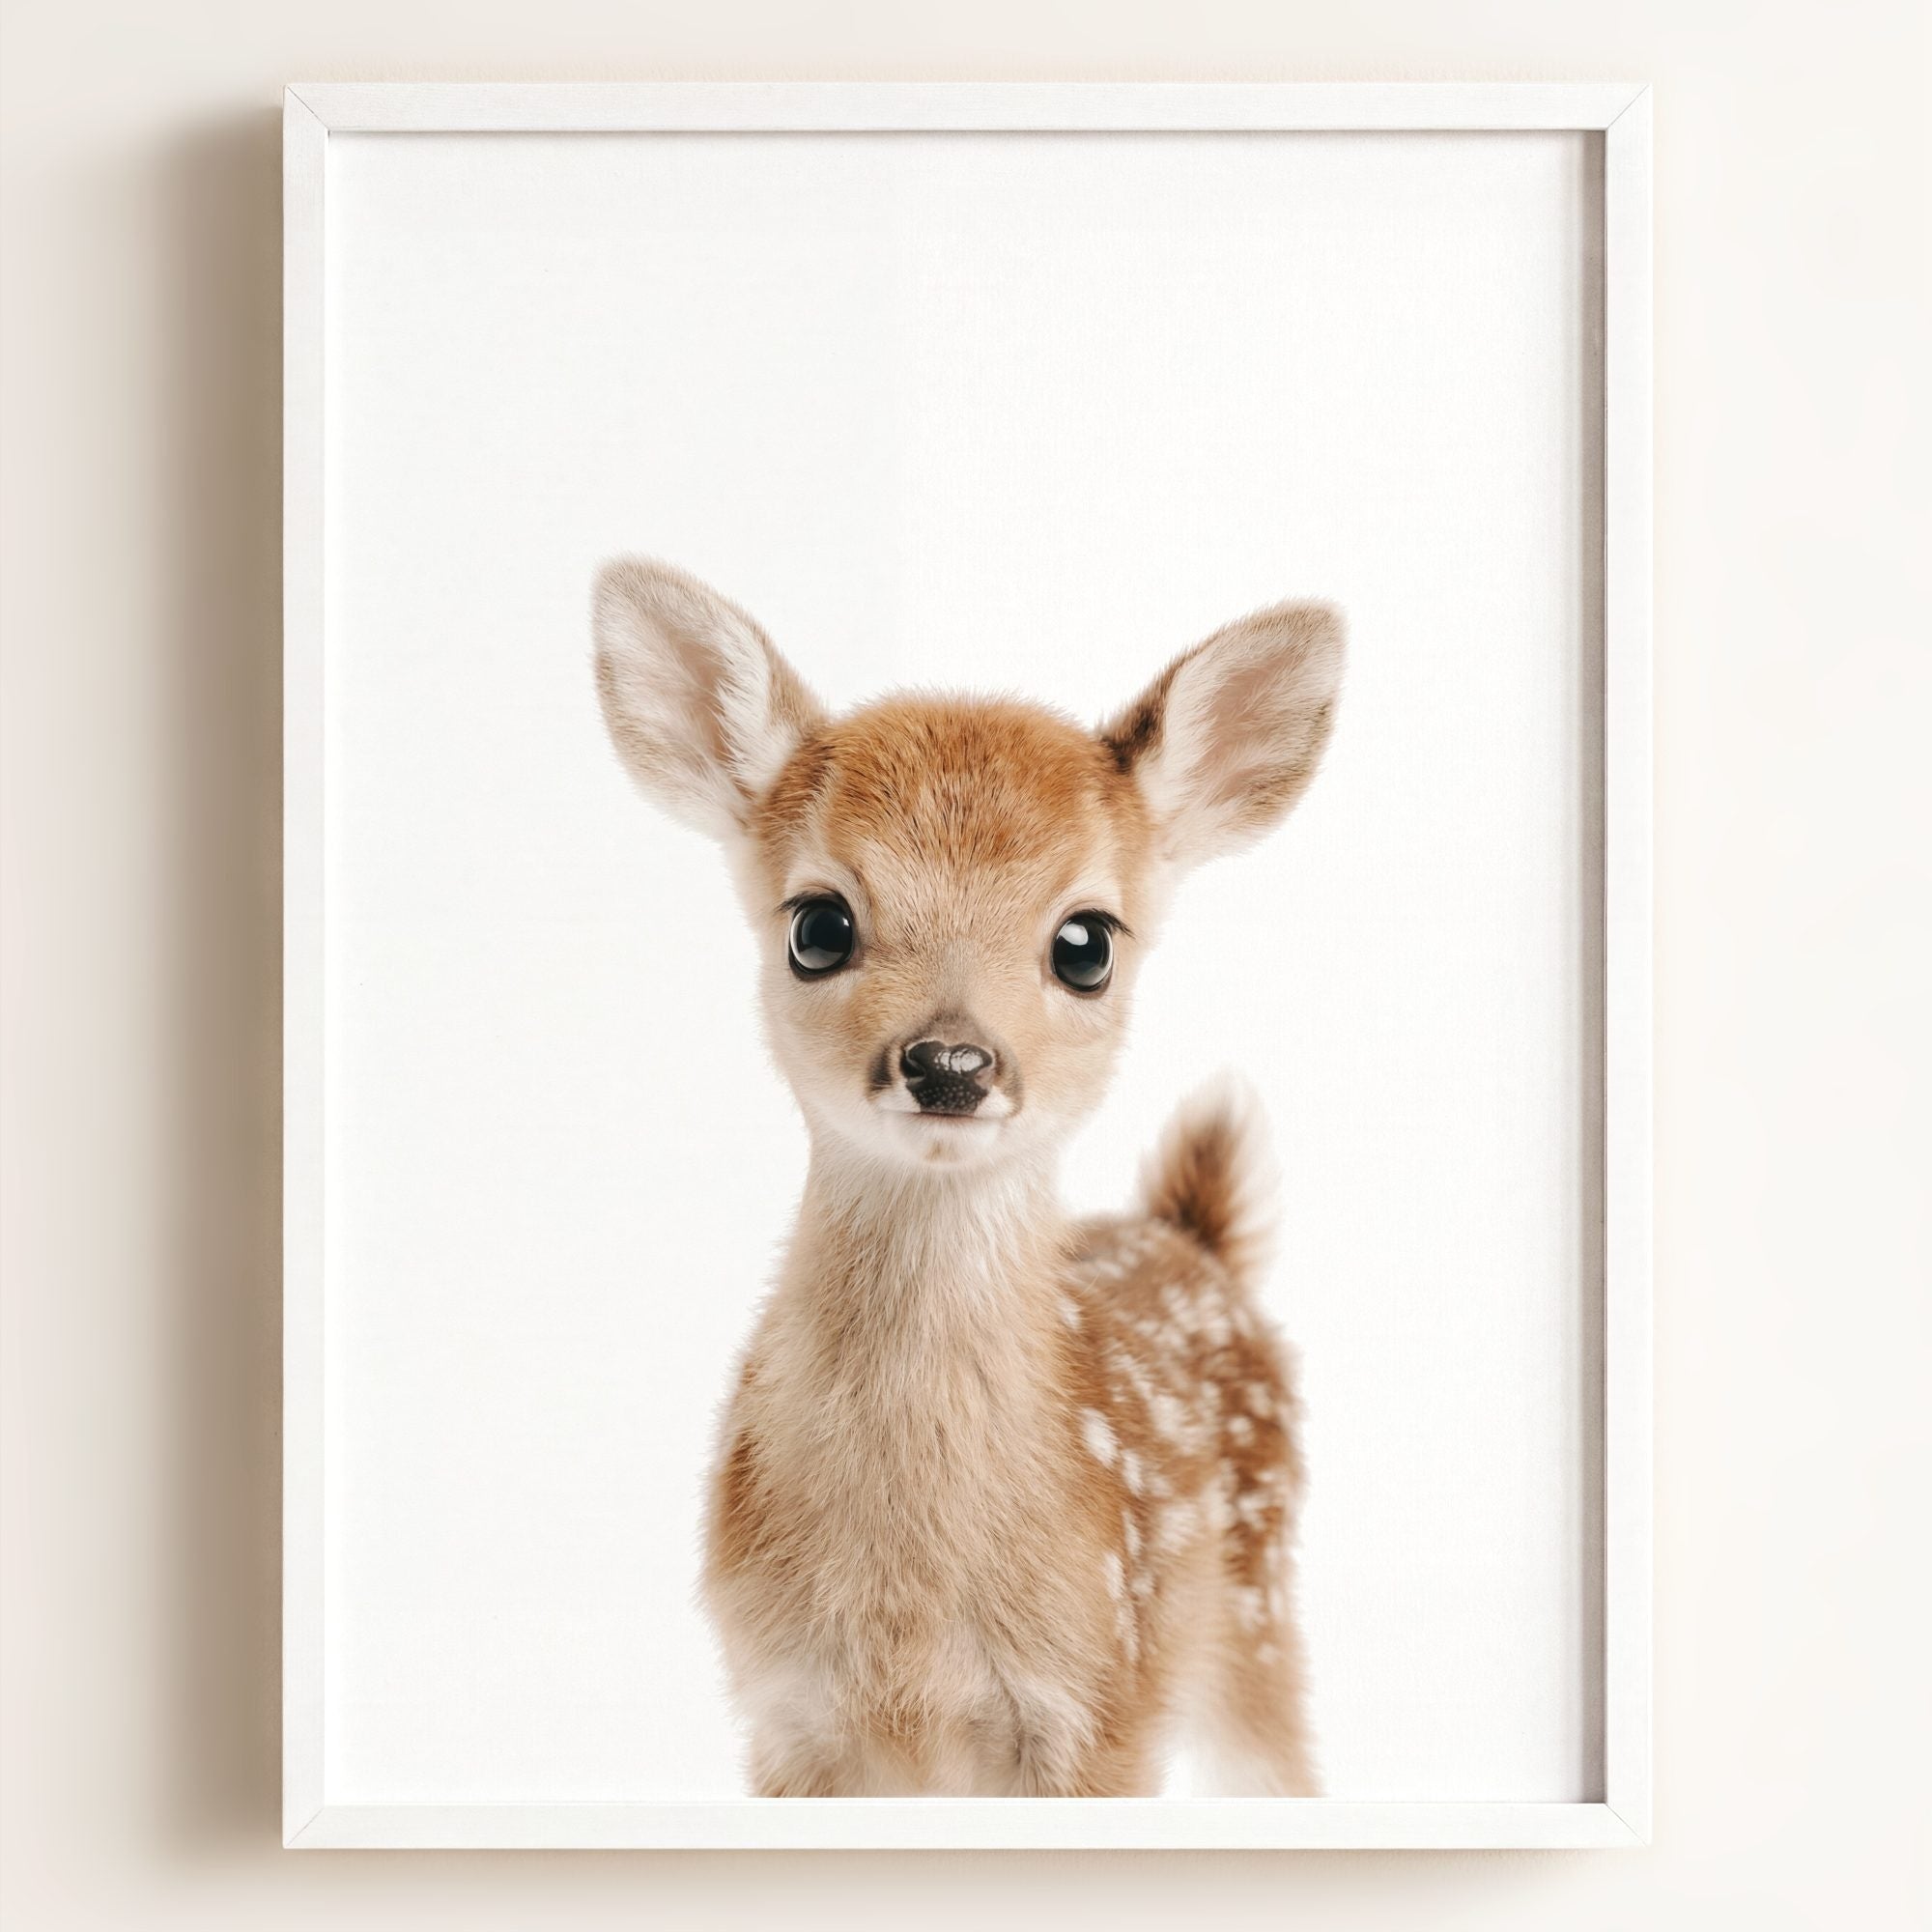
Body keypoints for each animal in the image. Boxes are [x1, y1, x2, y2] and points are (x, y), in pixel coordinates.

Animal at [593, 558, 1344, 1797]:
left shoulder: (1102, 1702)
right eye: (817, 924)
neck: (910, 1615)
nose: (949, 1062)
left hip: (1258, 1611)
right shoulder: (782, 1713)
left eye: (1085, 942)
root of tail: (1193, 1237)